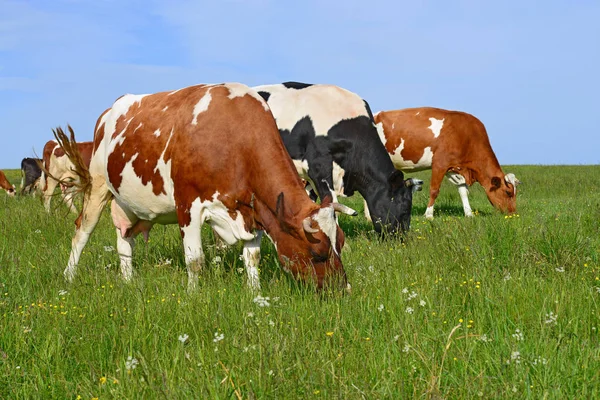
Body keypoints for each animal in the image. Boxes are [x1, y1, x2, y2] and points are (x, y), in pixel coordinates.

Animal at [54, 83, 352, 292]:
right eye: (318, 253)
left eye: (341, 242)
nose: (342, 289)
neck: (235, 139)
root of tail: (112, 108)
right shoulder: (188, 205)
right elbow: (195, 260)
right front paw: (193, 295)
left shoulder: (253, 208)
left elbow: (252, 257)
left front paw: (255, 294)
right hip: (98, 184)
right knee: (82, 231)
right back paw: (68, 277)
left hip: (128, 202)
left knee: (125, 239)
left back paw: (128, 281)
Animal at [372, 107, 516, 219]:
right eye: (508, 192)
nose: (513, 214)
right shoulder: (439, 164)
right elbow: (434, 190)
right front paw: (429, 215)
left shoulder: (454, 168)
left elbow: (463, 190)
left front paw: (469, 214)